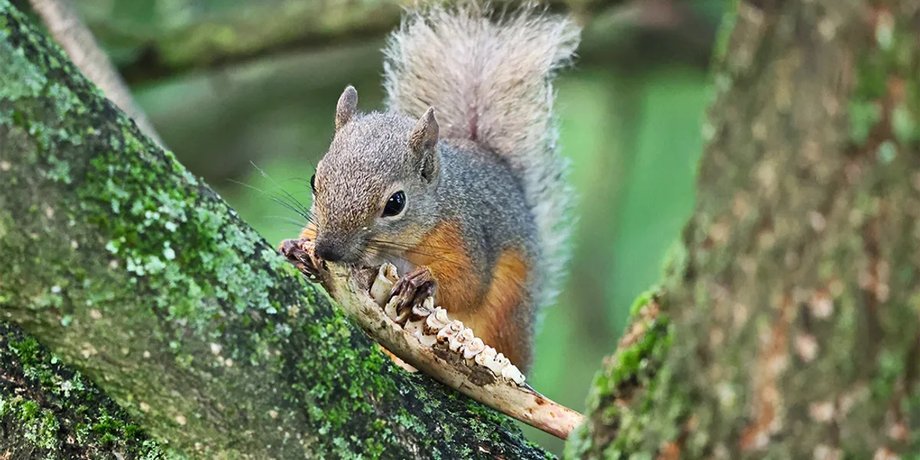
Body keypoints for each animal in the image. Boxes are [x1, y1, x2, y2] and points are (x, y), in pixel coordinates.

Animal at [300, 4, 579, 372]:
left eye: (396, 203)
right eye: (314, 180)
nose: (328, 250)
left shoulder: (465, 233)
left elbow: (469, 283)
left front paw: (424, 281)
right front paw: (296, 247)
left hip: (507, 313)